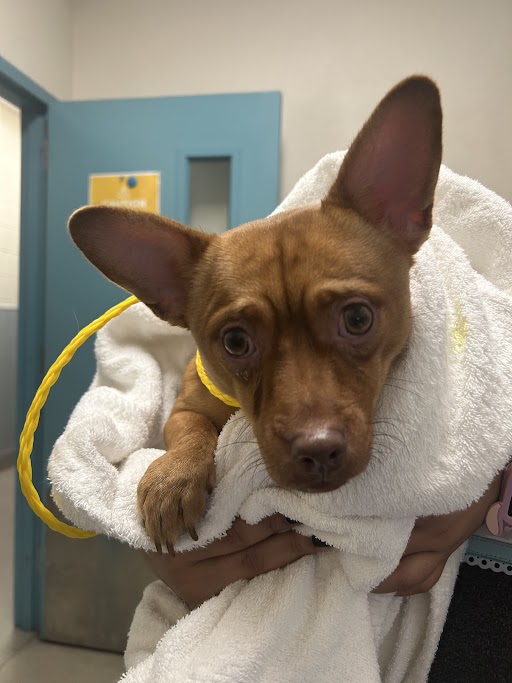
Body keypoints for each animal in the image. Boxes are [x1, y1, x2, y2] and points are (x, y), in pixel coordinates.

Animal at [69, 75, 442, 553]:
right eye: (235, 342)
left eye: (358, 319)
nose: (317, 449)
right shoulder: (183, 409)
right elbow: (190, 432)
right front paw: (173, 478)